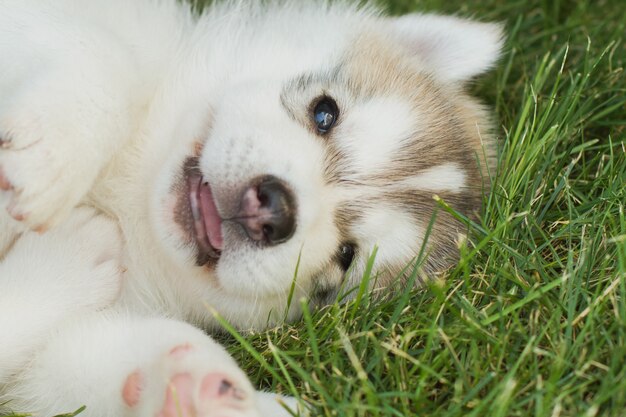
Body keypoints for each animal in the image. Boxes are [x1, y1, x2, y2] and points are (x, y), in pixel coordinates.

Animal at [0, 1, 500, 414]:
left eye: (346, 257)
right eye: (325, 113)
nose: (272, 211)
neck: (130, 201)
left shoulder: (58, 357)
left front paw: (199, 391)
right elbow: (110, 51)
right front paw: (52, 156)